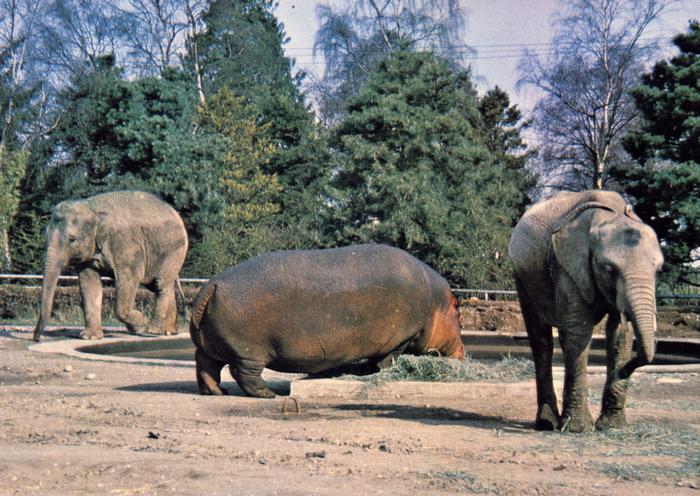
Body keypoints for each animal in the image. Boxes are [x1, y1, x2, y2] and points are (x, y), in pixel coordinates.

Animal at [33, 191, 188, 341]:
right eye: (45, 237)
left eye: (72, 240)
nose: (38, 338)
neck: (92, 208)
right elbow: (89, 282)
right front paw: (89, 337)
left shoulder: (126, 245)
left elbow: (131, 277)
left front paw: (140, 322)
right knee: (158, 285)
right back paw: (167, 331)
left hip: (173, 250)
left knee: (160, 283)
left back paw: (152, 329)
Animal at [189, 244, 465, 398]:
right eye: (458, 312)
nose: (463, 352)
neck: (436, 303)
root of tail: (212, 286)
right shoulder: (403, 338)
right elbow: (389, 359)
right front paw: (383, 370)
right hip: (249, 352)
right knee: (243, 373)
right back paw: (268, 395)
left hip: (212, 347)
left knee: (206, 367)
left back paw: (217, 392)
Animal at [508, 190, 663, 432]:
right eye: (608, 269)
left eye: (659, 270)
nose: (624, 370)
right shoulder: (568, 267)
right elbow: (578, 333)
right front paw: (578, 429)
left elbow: (619, 335)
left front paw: (612, 427)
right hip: (522, 276)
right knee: (540, 339)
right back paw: (547, 424)